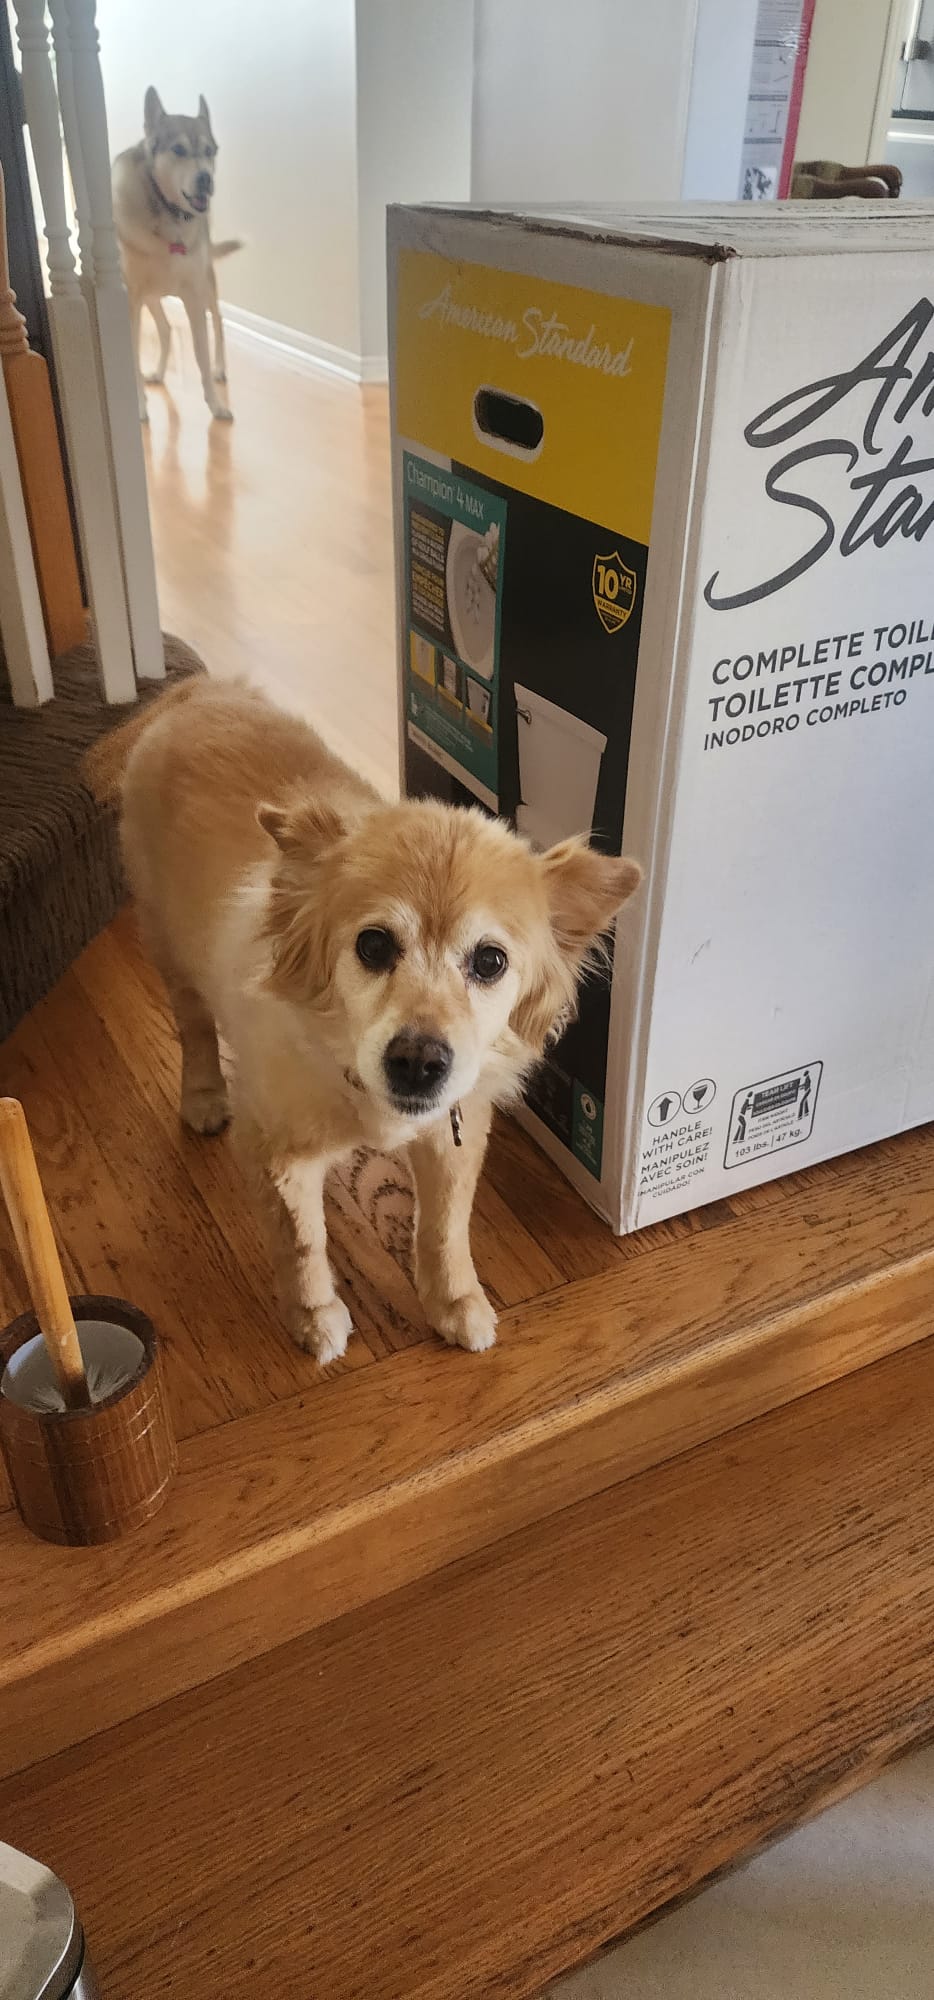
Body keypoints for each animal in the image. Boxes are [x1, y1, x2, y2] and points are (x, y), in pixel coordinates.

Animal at [86, 680, 641, 1362]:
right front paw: (313, 1318)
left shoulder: (455, 1138)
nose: (420, 1062)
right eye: (373, 946)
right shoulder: (279, 1158)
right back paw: (205, 1097)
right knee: (193, 1029)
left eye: (490, 961)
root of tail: (200, 692)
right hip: (168, 946)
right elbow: (303, 1244)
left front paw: (456, 1303)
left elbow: (444, 1231)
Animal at [112, 88, 241, 424]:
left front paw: (215, 404)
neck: (169, 217)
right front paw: (139, 407)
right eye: (179, 150)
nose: (206, 179)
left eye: (210, 151)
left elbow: (201, 357)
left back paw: (220, 368)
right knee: (166, 329)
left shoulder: (193, 297)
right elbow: (131, 360)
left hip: (206, 285)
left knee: (218, 320)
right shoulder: (130, 302)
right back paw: (157, 373)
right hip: (150, 298)